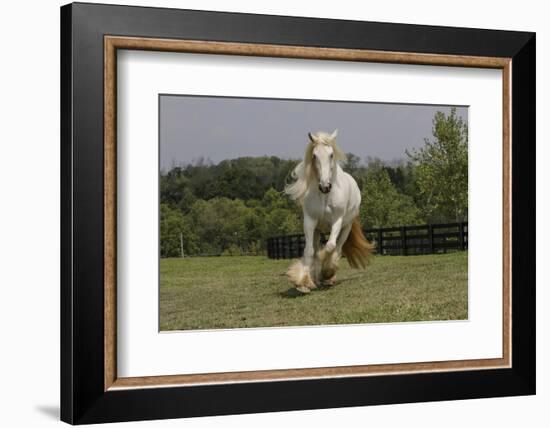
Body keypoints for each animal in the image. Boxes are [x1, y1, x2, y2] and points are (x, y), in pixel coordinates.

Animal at [284, 129, 376, 292]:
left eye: (331, 154)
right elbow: (309, 251)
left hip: (346, 227)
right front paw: (303, 282)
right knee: (316, 249)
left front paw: (326, 273)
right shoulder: (310, 221)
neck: (325, 196)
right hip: (317, 230)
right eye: (314, 155)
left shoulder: (337, 221)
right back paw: (315, 279)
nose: (325, 186)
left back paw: (328, 277)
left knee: (337, 249)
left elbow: (330, 247)